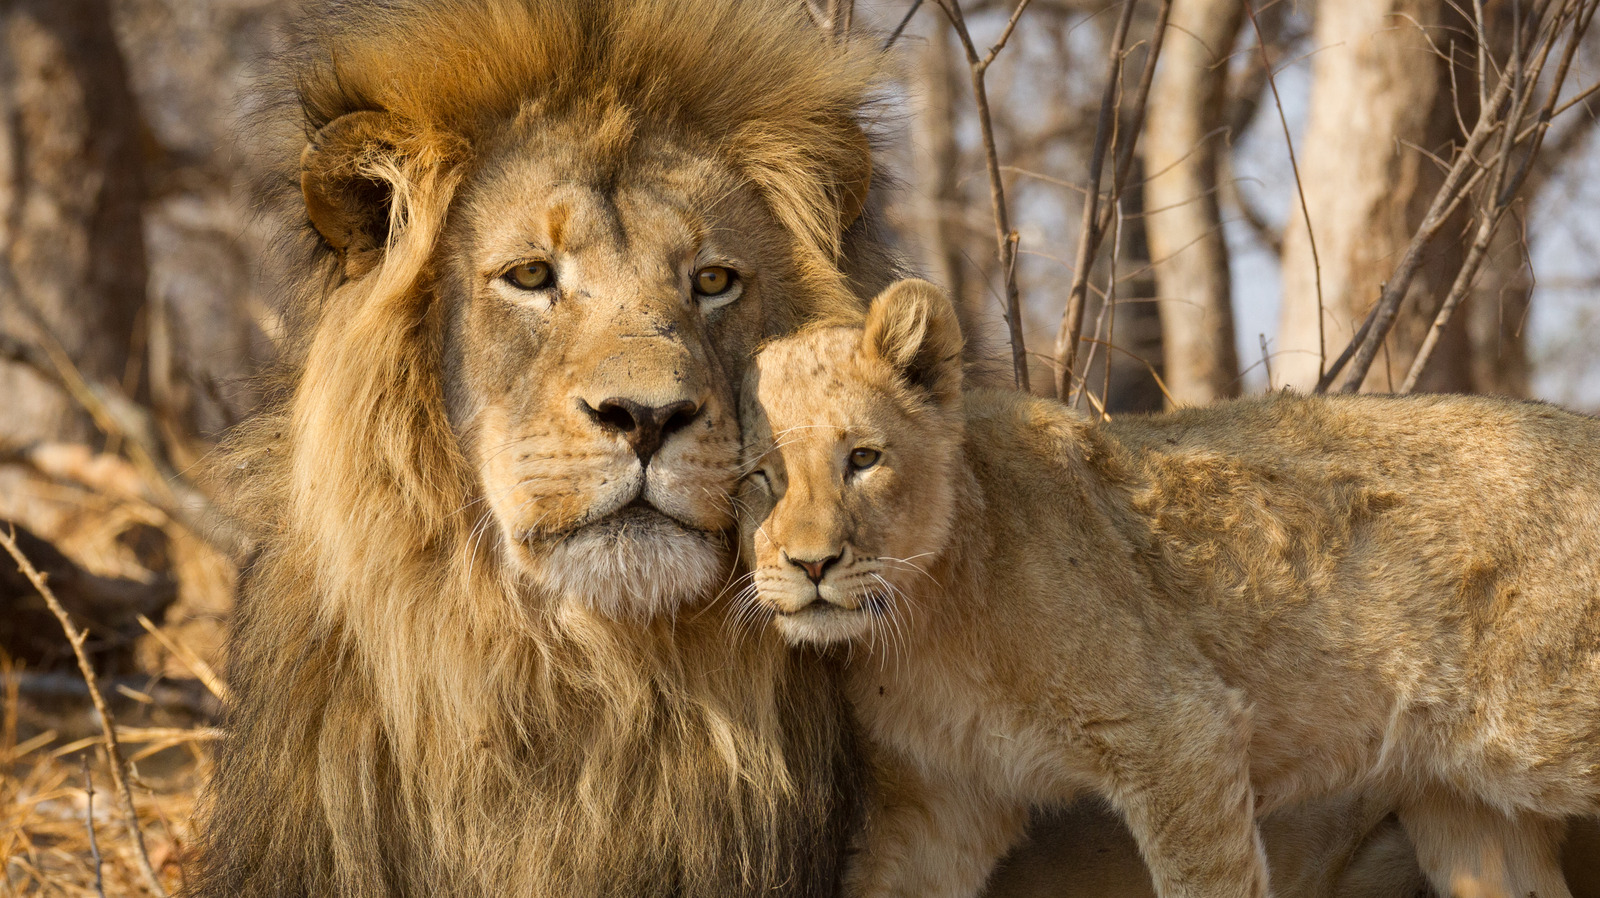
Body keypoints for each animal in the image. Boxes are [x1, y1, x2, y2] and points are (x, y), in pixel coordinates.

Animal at [737, 279, 1600, 898]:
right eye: (756, 477)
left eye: (863, 458)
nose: (812, 565)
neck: (921, 626)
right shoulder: (940, 803)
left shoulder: (1179, 732)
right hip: (1468, 809)